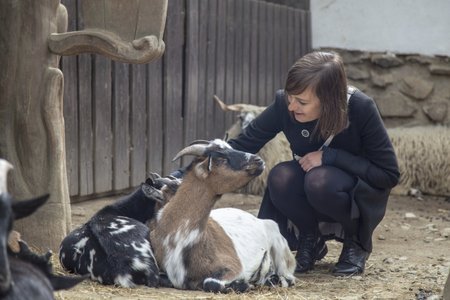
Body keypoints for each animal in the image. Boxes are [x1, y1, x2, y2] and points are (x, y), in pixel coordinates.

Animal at [149, 140, 298, 292]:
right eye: (221, 159)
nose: (258, 160)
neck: (176, 237)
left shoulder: (234, 266)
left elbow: (211, 282)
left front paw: (244, 283)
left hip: (280, 248)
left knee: (288, 277)